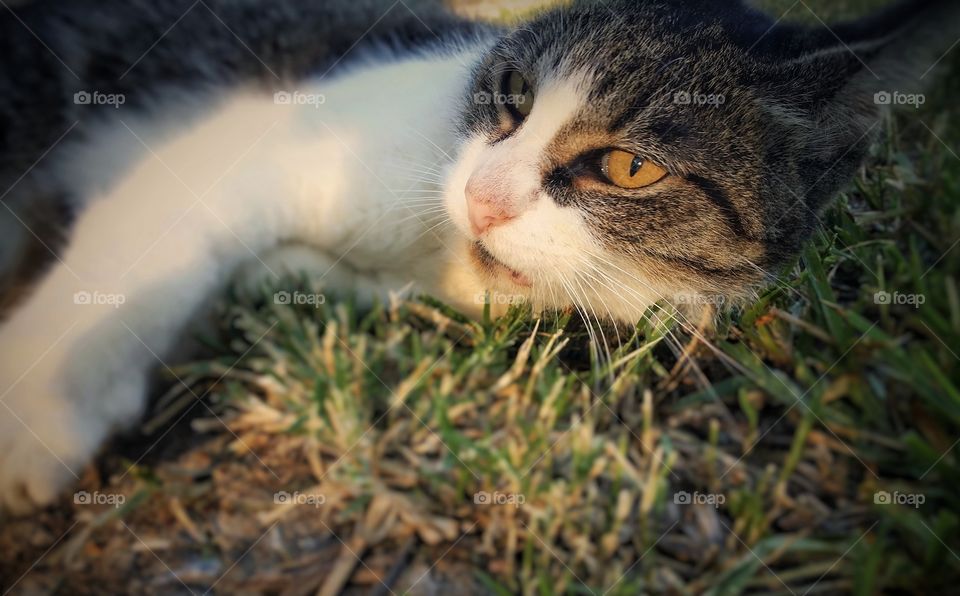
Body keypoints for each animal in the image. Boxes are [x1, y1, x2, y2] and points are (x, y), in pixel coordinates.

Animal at [0, 0, 956, 512]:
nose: (485, 197)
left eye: (630, 168)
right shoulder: (264, 145)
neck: (433, 251)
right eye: (513, 93)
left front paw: (280, 283)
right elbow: (146, 249)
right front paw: (36, 413)